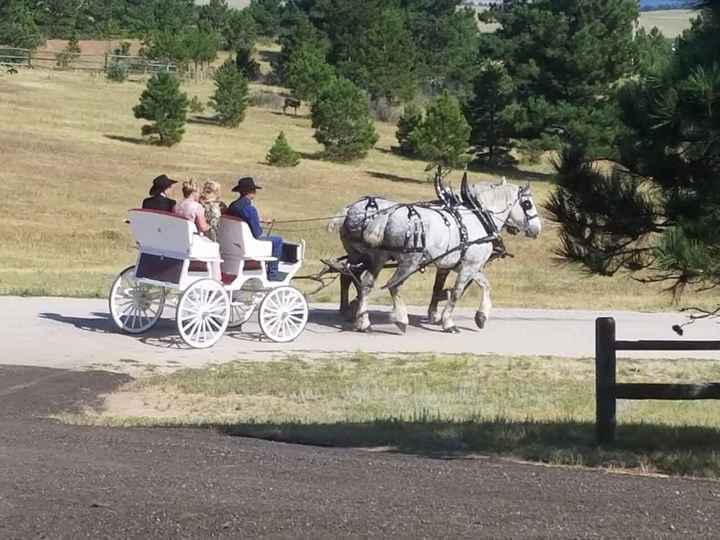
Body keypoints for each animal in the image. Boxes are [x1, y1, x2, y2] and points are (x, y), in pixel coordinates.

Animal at [336, 181, 540, 332]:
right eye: (527, 204)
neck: (479, 217)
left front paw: (480, 316)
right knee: (393, 285)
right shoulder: (469, 265)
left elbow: (483, 286)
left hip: (374, 258)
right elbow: (457, 292)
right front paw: (448, 322)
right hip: (409, 261)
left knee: (361, 282)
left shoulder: (463, 265)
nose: (537, 229)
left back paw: (361, 320)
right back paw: (399, 319)